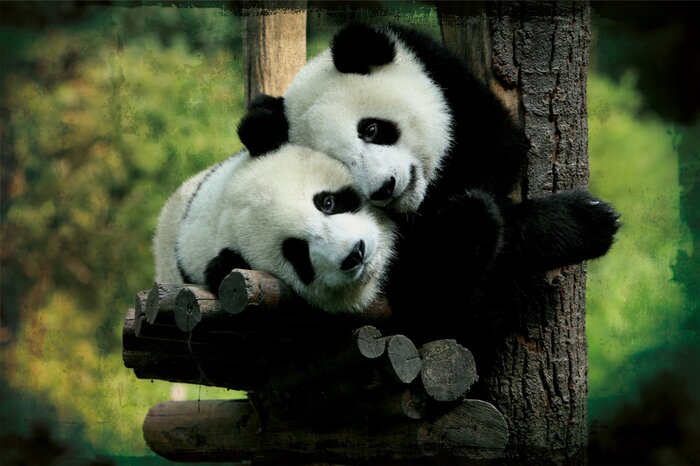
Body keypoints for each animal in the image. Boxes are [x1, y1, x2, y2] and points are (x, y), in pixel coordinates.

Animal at [237, 23, 620, 341]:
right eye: (342, 165)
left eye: (371, 129)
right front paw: (585, 224)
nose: (384, 188)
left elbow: (500, 150)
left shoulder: (446, 80)